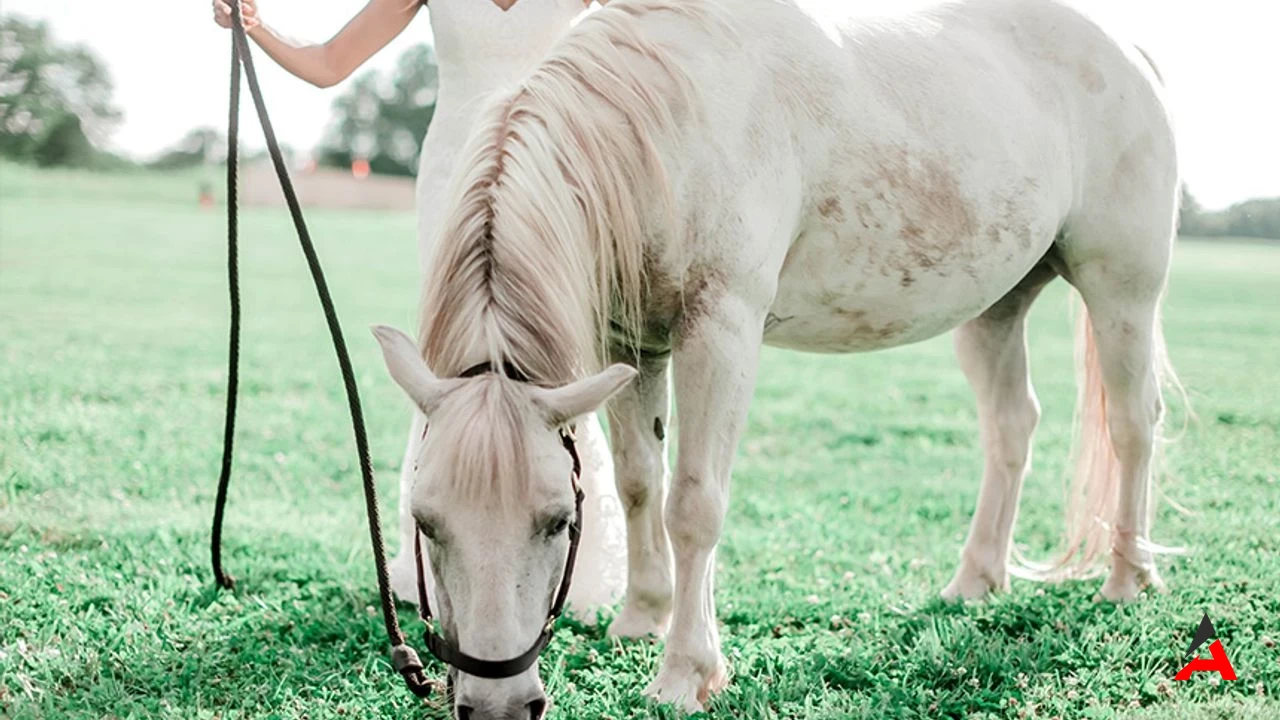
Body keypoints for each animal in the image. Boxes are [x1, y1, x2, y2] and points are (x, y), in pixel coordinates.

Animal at [371, 0, 1177, 707]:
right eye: (425, 521)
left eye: (556, 522)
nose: (496, 701)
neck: (666, 123)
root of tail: (1130, 52)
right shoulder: (632, 345)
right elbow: (638, 485)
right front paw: (641, 618)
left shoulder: (721, 328)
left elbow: (693, 503)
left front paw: (684, 673)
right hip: (995, 309)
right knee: (1012, 426)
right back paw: (977, 579)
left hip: (1123, 293)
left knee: (1134, 425)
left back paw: (1127, 578)